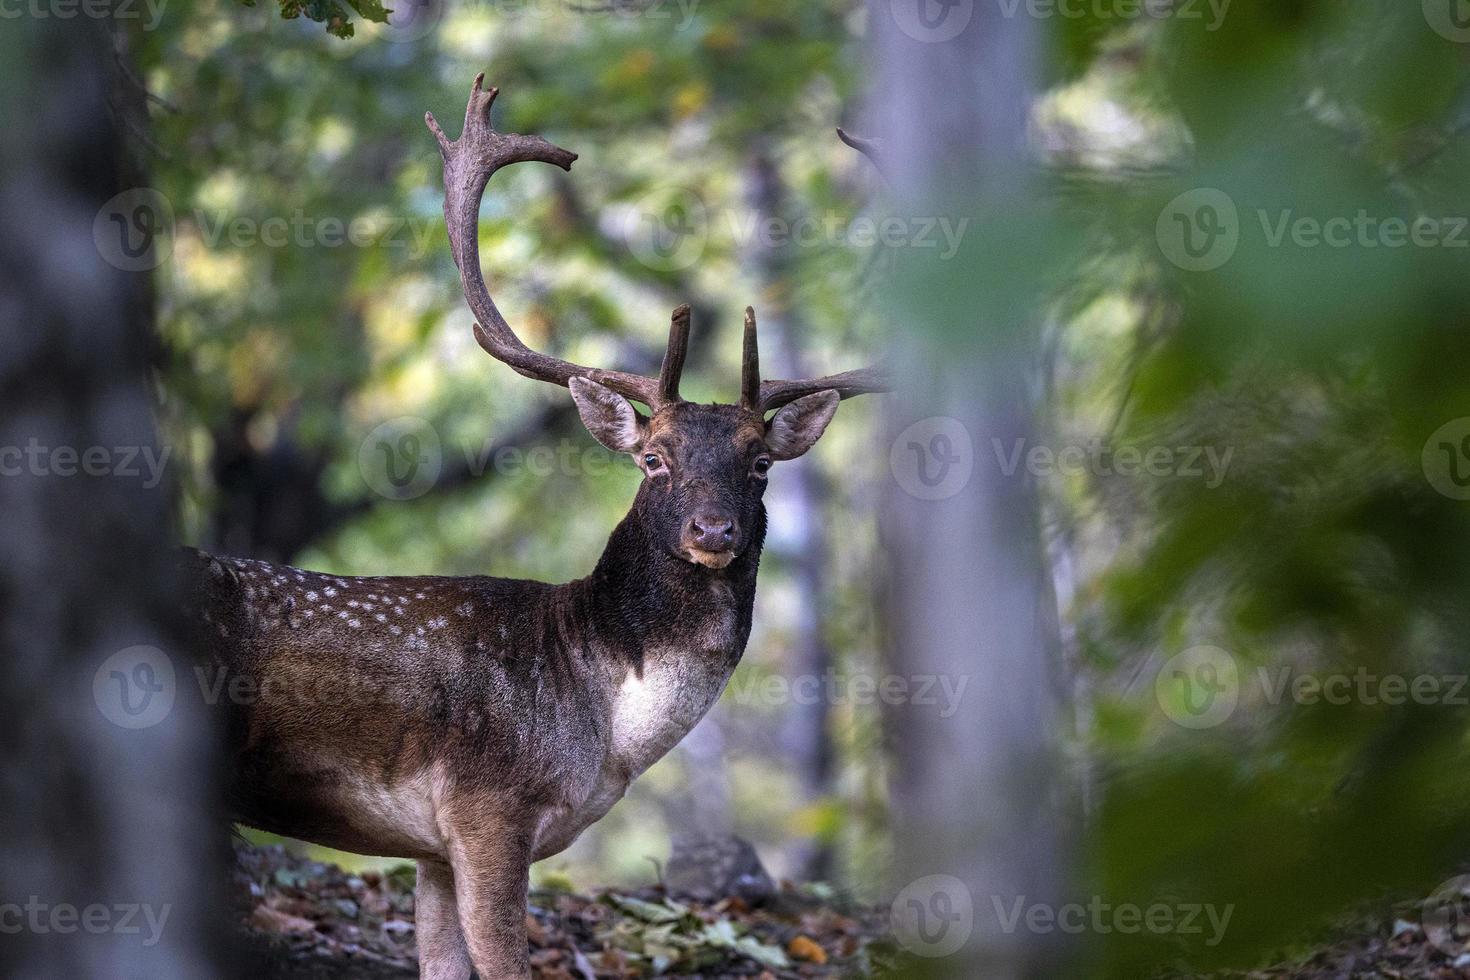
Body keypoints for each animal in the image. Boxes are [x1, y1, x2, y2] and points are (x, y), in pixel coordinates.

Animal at [191, 76, 887, 980]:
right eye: (653, 459)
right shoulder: (490, 805)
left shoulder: (431, 848)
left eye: (762, 463)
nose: (714, 530)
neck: (604, 729)